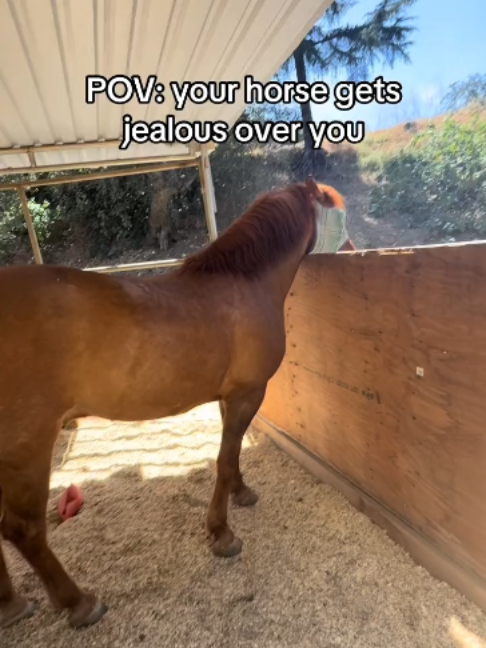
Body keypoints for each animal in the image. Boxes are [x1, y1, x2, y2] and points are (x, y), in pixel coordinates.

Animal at [0, 177, 348, 630]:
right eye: (340, 211)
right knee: (22, 529)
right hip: (28, 448)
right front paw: (221, 533)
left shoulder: (230, 396)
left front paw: (241, 493)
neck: (244, 283)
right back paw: (79, 603)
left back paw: (11, 604)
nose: (351, 250)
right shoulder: (248, 392)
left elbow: (233, 453)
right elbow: (223, 460)